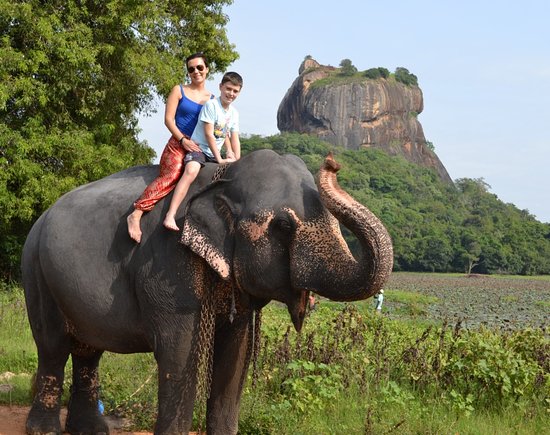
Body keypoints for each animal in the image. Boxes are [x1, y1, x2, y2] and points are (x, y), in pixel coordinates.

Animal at [20, 149, 392, 432]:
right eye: (284, 226)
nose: (332, 163)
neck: (222, 177)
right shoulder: (166, 265)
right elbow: (180, 350)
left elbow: (235, 353)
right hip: (36, 271)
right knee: (53, 346)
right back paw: (44, 430)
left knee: (88, 351)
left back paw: (92, 430)